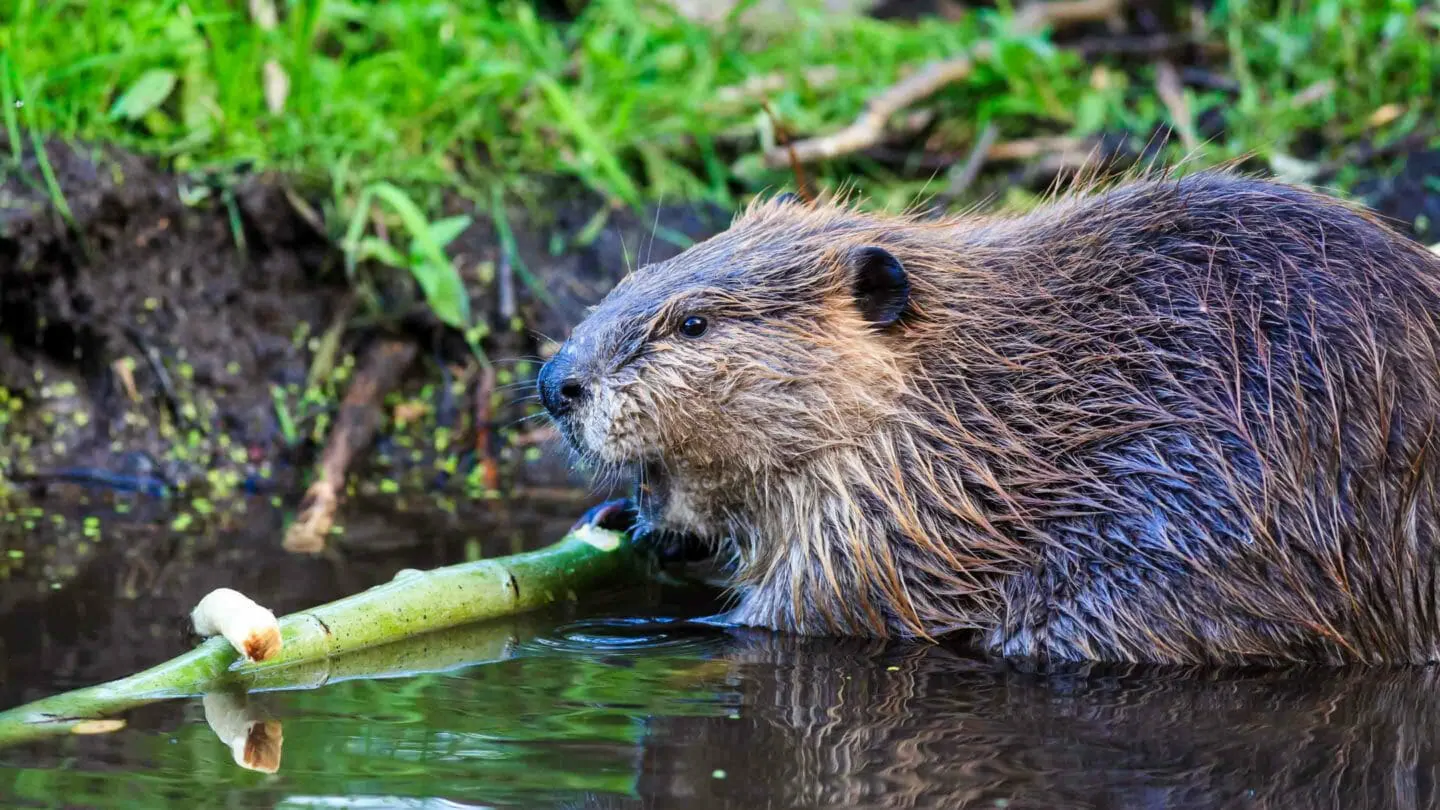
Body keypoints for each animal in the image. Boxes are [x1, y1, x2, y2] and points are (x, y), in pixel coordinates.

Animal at [532, 171, 1440, 662]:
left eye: (692, 323)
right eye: (632, 276)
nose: (554, 382)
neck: (973, 400)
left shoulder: (890, 514)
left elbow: (801, 619)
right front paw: (627, 523)